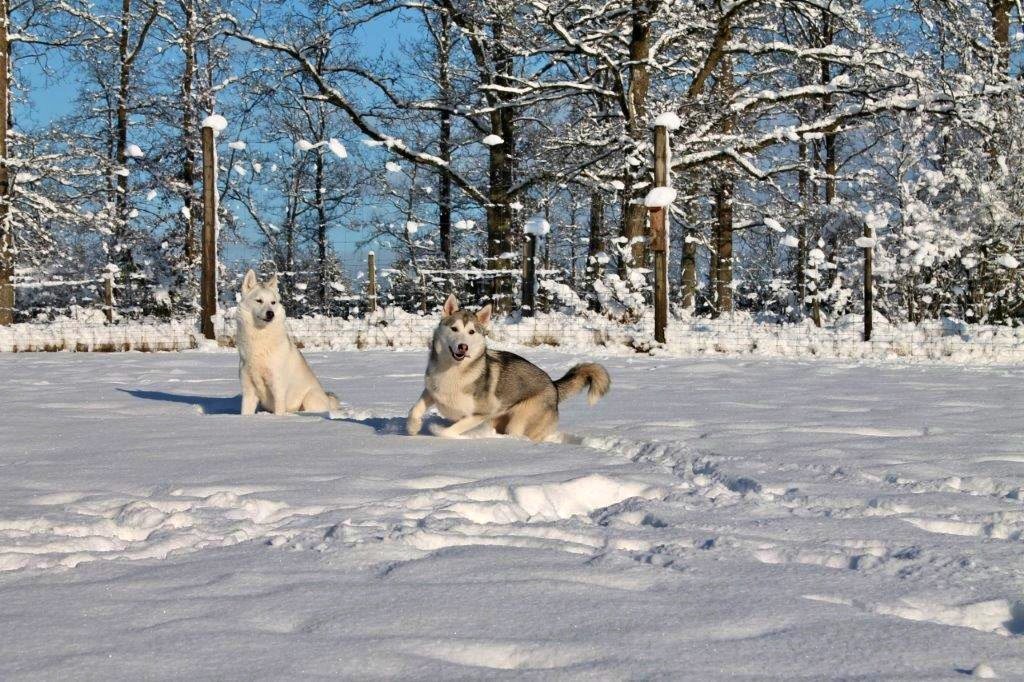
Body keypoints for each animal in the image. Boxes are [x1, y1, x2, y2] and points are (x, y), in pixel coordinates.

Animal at [235, 269, 339, 415]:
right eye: (259, 301)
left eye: (273, 302)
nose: (270, 313)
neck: (260, 337)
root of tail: (329, 401)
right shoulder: (248, 390)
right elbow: (245, 412)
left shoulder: (278, 388)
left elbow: (279, 411)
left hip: (310, 398)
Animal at [406, 294, 610, 441]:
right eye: (454, 329)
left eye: (471, 332)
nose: (462, 347)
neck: (454, 372)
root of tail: (554, 386)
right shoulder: (432, 392)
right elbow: (414, 410)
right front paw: (413, 428)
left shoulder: (480, 414)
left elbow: (447, 431)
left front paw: (436, 430)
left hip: (519, 421)